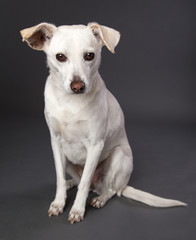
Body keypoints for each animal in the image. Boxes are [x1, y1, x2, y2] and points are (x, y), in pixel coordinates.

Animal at [20, 22, 186, 223]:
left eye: (89, 55)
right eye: (60, 57)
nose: (78, 86)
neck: (70, 103)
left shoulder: (95, 145)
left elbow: (84, 184)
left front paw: (77, 210)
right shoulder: (56, 143)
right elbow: (60, 178)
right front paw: (59, 202)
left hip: (119, 156)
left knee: (111, 190)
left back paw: (100, 198)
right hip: (68, 159)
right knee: (80, 180)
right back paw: (70, 183)